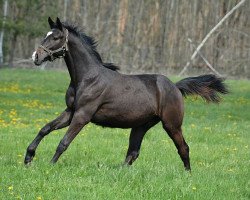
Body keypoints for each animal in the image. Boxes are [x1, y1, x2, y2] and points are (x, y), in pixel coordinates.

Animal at [24, 17, 228, 170]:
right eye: (46, 35)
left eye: (56, 37)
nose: (36, 56)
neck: (86, 78)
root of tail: (175, 87)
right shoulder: (71, 111)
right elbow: (45, 128)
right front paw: (28, 158)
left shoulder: (83, 115)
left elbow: (64, 142)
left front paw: (50, 165)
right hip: (141, 126)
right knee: (133, 153)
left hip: (172, 124)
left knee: (183, 147)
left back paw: (188, 174)